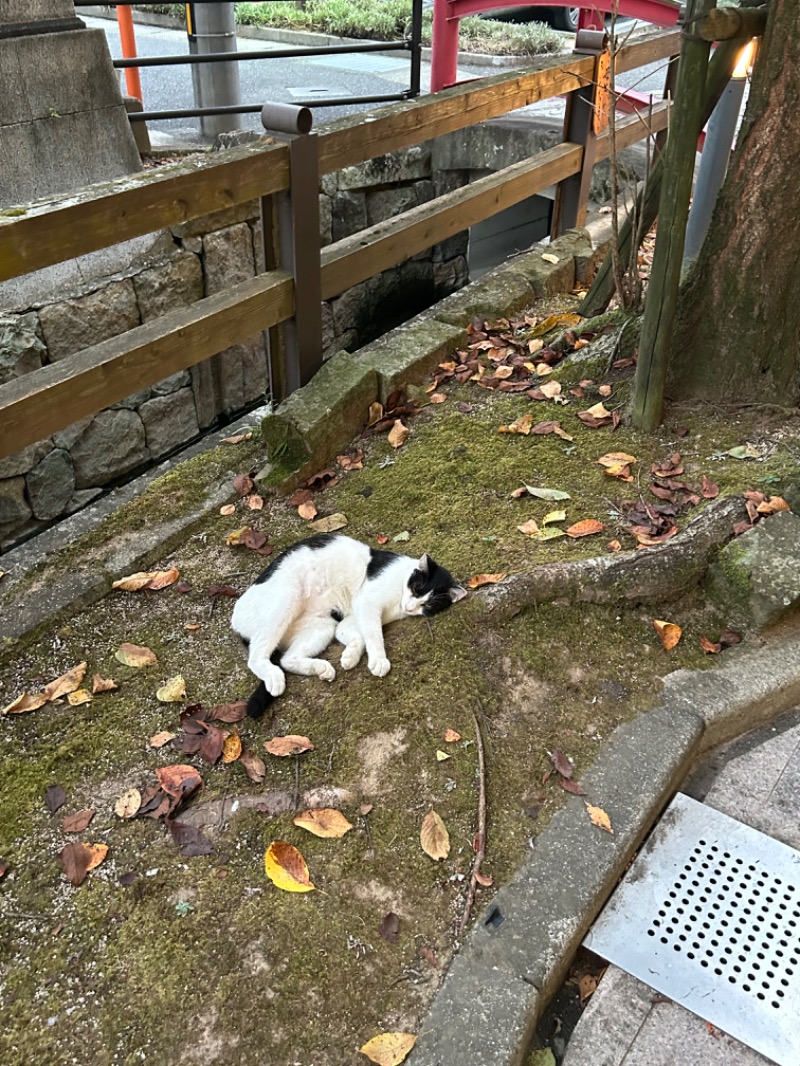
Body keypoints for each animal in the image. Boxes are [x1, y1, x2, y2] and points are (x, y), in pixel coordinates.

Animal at [231, 537, 467, 720]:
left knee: (287, 659)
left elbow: (360, 637)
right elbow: (374, 637)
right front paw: (379, 660)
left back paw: (320, 668)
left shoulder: (353, 617)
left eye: (427, 605)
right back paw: (274, 677)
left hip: (322, 627)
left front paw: (351, 656)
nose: (410, 607)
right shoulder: (367, 603)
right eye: (416, 588)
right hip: (286, 599)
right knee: (256, 657)